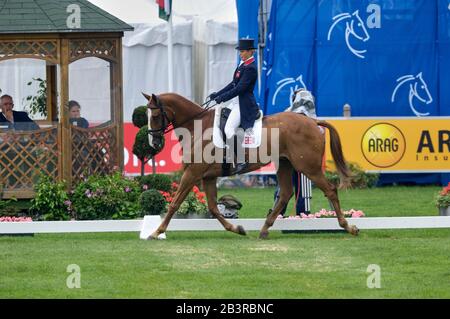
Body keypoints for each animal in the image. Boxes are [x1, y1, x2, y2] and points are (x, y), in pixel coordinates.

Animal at [142, 92, 360, 240]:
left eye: (155, 116)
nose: (154, 144)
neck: (197, 126)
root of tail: (313, 122)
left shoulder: (193, 173)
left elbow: (175, 203)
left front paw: (156, 232)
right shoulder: (208, 176)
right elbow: (213, 208)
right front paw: (237, 229)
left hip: (308, 167)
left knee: (330, 190)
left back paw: (349, 227)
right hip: (285, 164)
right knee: (286, 193)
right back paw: (264, 230)